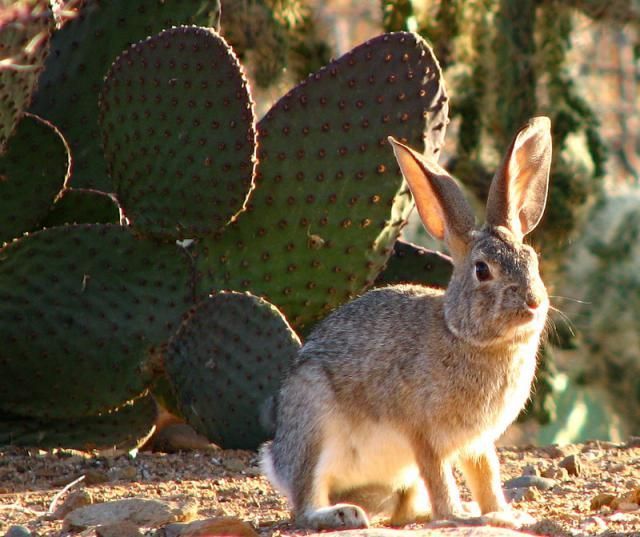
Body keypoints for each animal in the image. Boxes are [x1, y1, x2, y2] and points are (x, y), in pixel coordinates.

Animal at [258, 115, 552, 528]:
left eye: (533, 260)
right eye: (482, 270)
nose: (534, 302)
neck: (464, 336)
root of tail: (277, 461)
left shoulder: (477, 442)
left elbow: (486, 476)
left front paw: (504, 515)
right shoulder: (423, 434)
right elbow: (440, 474)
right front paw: (459, 516)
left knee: (404, 511)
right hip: (312, 418)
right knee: (304, 502)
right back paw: (340, 513)